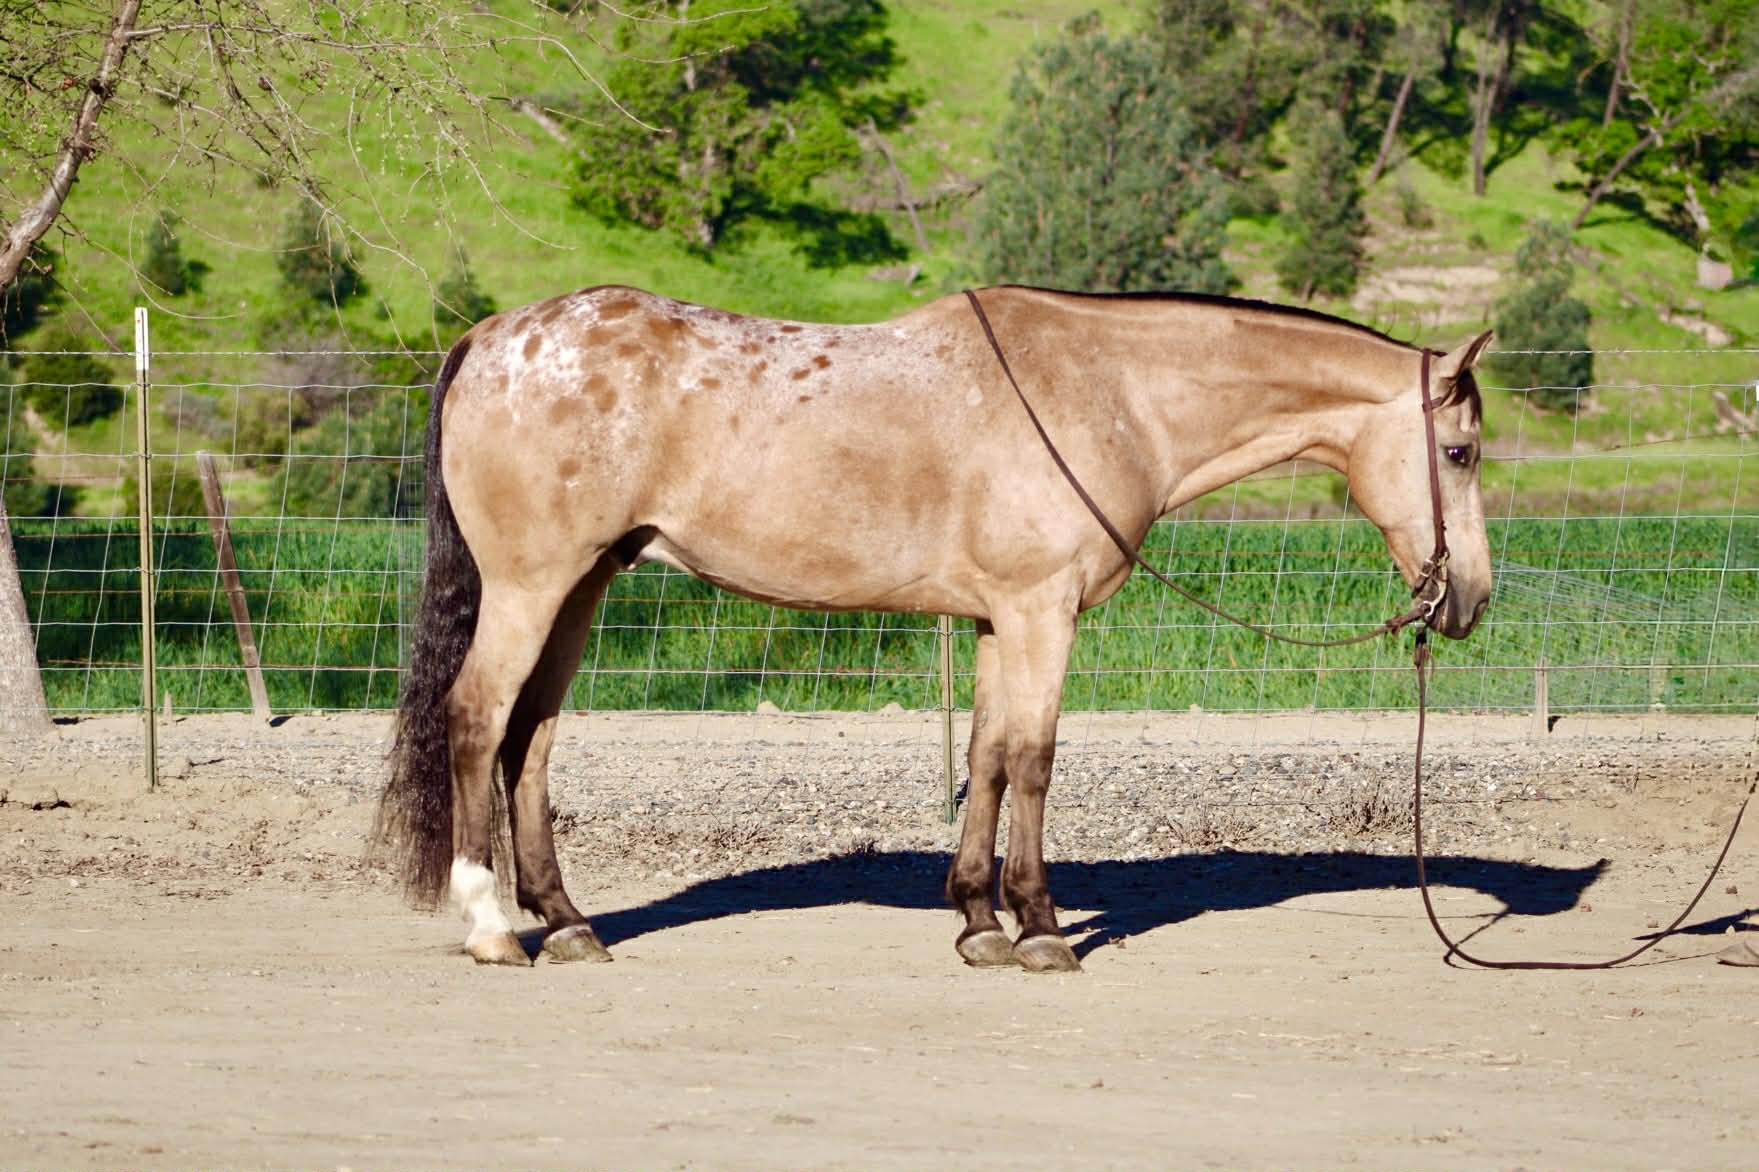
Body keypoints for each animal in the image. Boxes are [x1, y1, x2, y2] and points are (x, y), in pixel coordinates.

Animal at [375, 283, 1493, 973]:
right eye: (1462, 451)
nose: (1471, 598)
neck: (1108, 391)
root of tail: (489, 339)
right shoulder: (1041, 612)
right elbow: (1034, 760)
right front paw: (1040, 928)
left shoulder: (1001, 618)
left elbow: (987, 758)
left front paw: (976, 919)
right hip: (532, 585)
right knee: (477, 718)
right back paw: (492, 926)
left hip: (582, 589)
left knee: (531, 738)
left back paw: (567, 923)